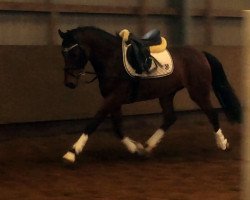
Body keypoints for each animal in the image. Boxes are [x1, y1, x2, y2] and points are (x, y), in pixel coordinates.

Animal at [57, 27, 241, 164]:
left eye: (74, 53)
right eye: (63, 53)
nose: (69, 83)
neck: (112, 59)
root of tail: (201, 54)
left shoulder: (114, 97)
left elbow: (94, 122)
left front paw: (72, 152)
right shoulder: (114, 100)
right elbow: (117, 127)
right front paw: (136, 148)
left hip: (198, 91)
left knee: (212, 114)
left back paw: (222, 143)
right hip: (166, 93)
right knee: (170, 117)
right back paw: (148, 146)